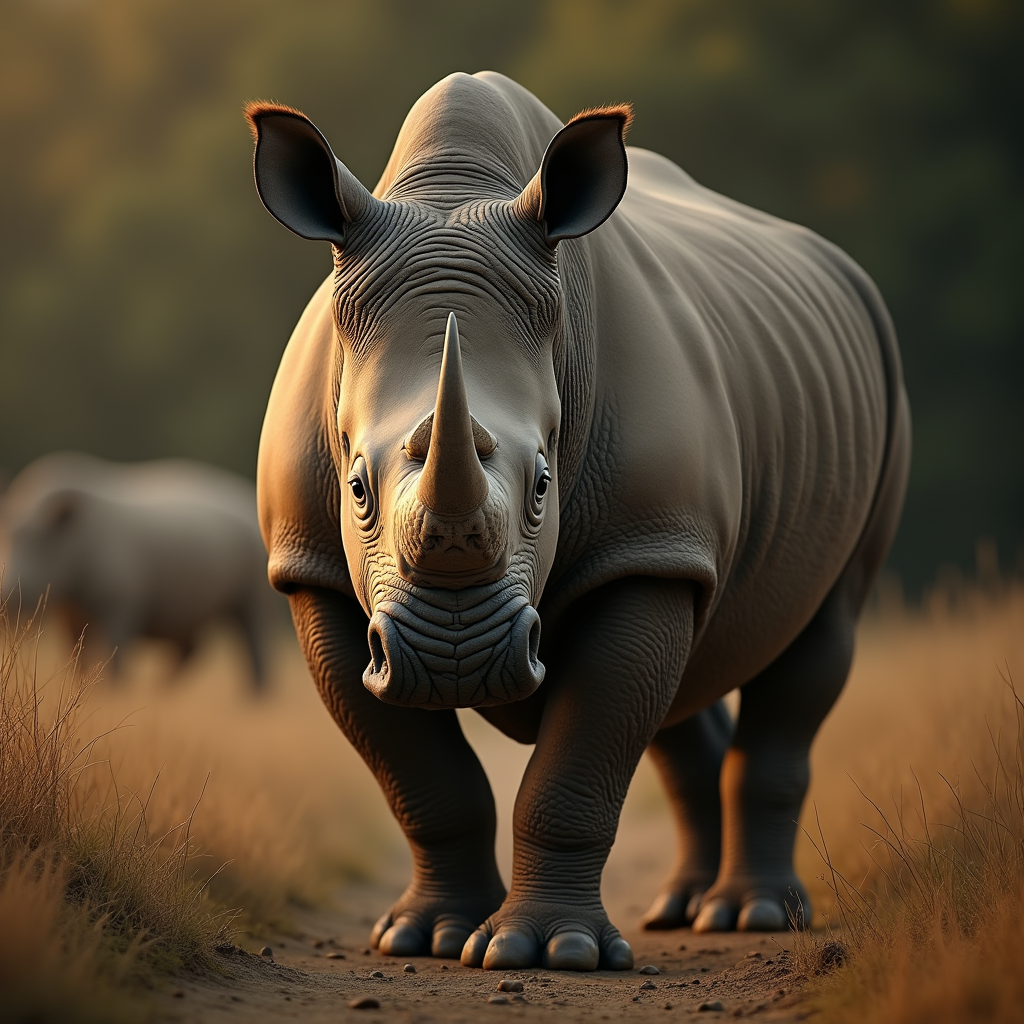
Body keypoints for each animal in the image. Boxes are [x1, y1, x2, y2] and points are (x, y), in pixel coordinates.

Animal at [0, 452, 278, 689]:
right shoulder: (69, 611)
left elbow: (114, 655)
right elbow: (76, 656)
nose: (9, 597)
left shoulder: (120, 603)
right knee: (190, 642)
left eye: (43, 548)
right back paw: (161, 689)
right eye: (6, 542)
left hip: (254, 583)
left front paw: (111, 691)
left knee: (252, 634)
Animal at [246, 71, 909, 971]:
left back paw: (751, 916)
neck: (452, 194)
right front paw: (426, 937)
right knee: (687, 674)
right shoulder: (312, 568)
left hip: (874, 386)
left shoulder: (647, 543)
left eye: (543, 484)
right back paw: (681, 909)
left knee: (816, 641)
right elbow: (420, 774)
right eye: (354, 486)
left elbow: (580, 757)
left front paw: (546, 951)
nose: (453, 659)